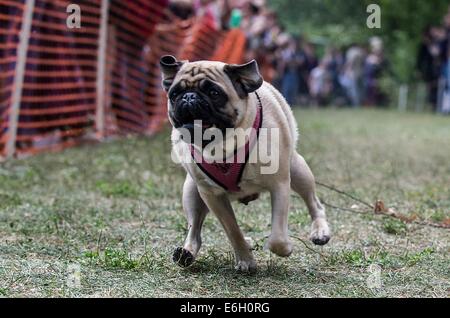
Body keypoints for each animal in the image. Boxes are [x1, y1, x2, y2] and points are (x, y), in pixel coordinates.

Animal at [160, 54, 328, 270]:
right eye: (175, 94)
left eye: (214, 93)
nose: (189, 97)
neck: (222, 149)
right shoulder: (212, 196)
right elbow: (233, 230)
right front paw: (245, 259)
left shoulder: (280, 185)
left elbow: (277, 237)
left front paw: (284, 248)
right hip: (192, 192)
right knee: (194, 231)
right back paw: (186, 253)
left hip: (298, 171)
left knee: (314, 204)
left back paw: (320, 232)